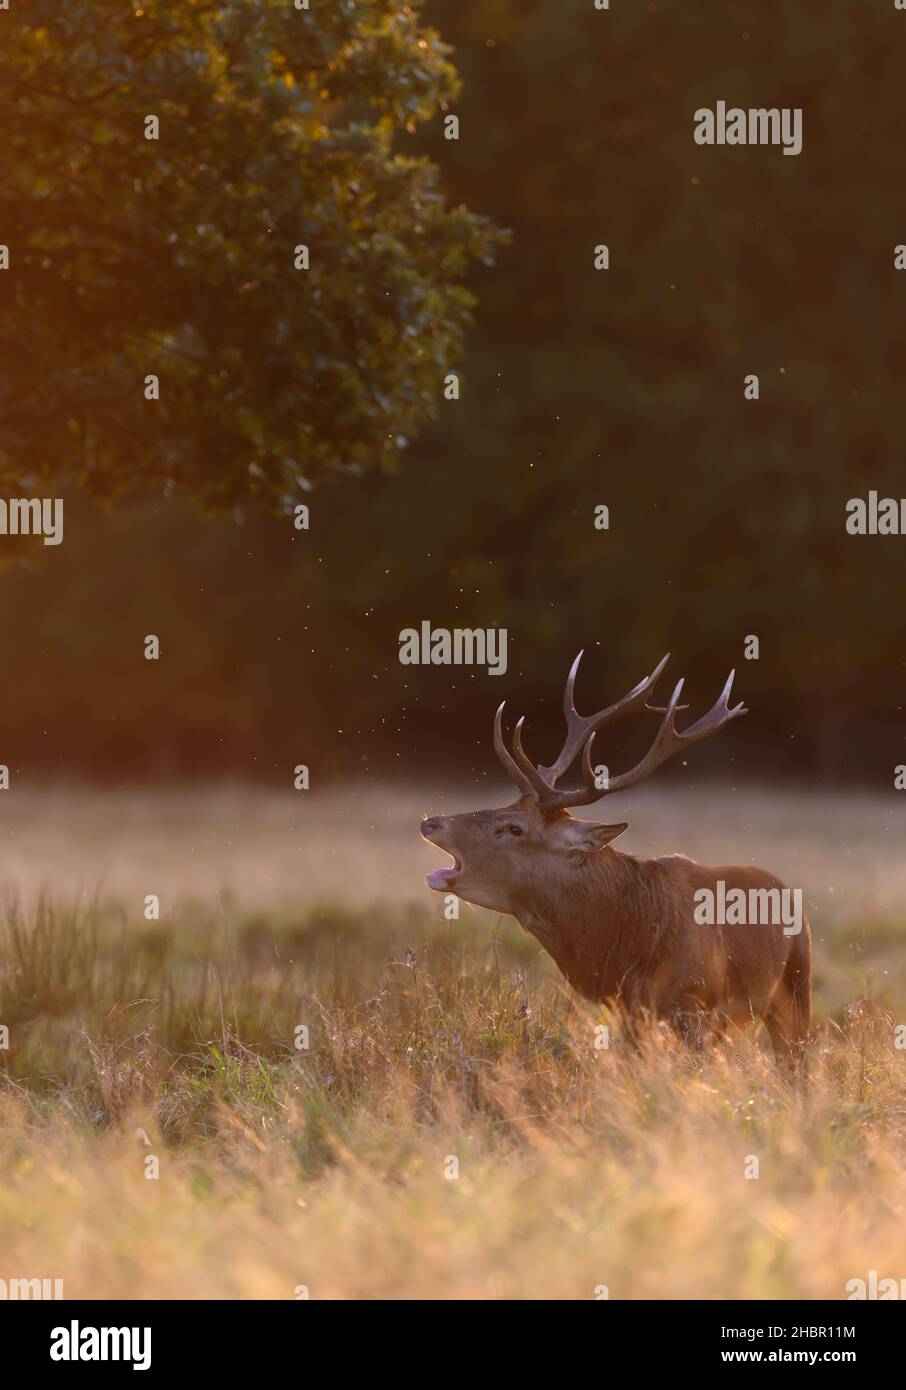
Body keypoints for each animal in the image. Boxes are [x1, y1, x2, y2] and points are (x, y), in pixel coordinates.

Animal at [421, 653, 811, 1069]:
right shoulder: (630, 1012)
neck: (626, 947)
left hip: (795, 988)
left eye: (513, 828)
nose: (431, 822)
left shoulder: (693, 1004)